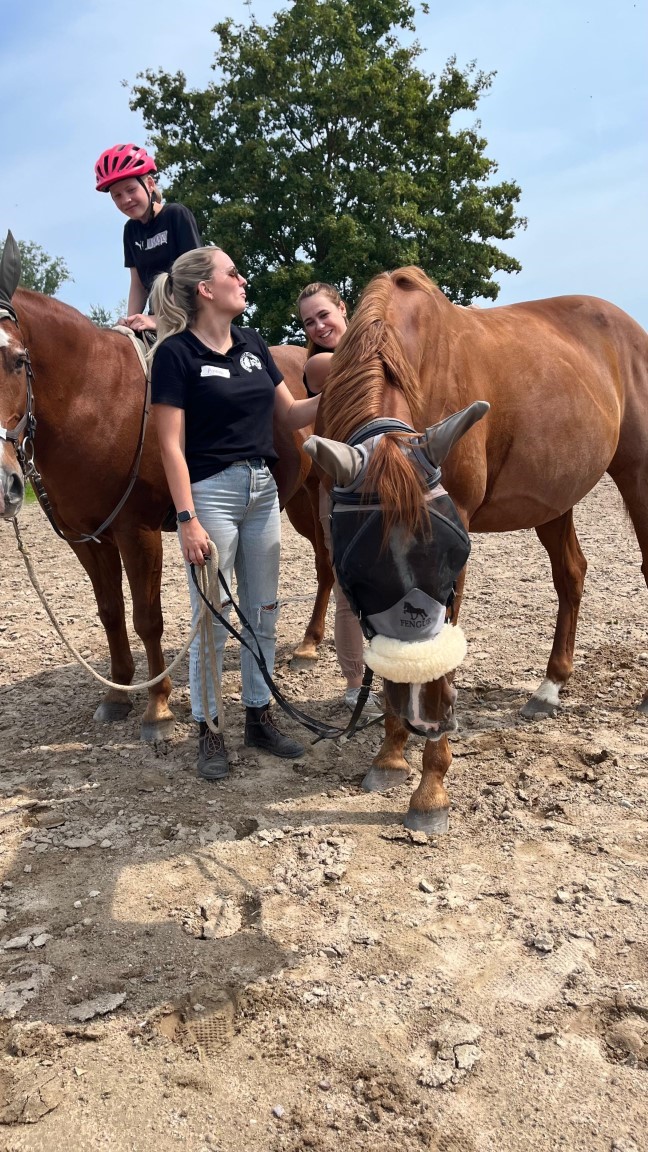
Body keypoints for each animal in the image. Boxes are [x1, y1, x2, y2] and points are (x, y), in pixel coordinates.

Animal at [0, 243, 333, 742]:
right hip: (294, 503)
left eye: (18, 360)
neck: (94, 397)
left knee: (328, 564)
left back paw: (311, 645)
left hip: (313, 501)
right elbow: (111, 613)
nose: (5, 483)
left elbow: (146, 617)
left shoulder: (137, 532)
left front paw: (157, 706)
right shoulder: (90, 540)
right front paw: (117, 692)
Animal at [306, 264, 648, 833]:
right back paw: (549, 688)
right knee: (571, 574)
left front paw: (430, 787)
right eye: (359, 577)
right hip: (553, 498)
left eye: (452, 563)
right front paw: (391, 753)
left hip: (638, 474)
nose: (424, 722)